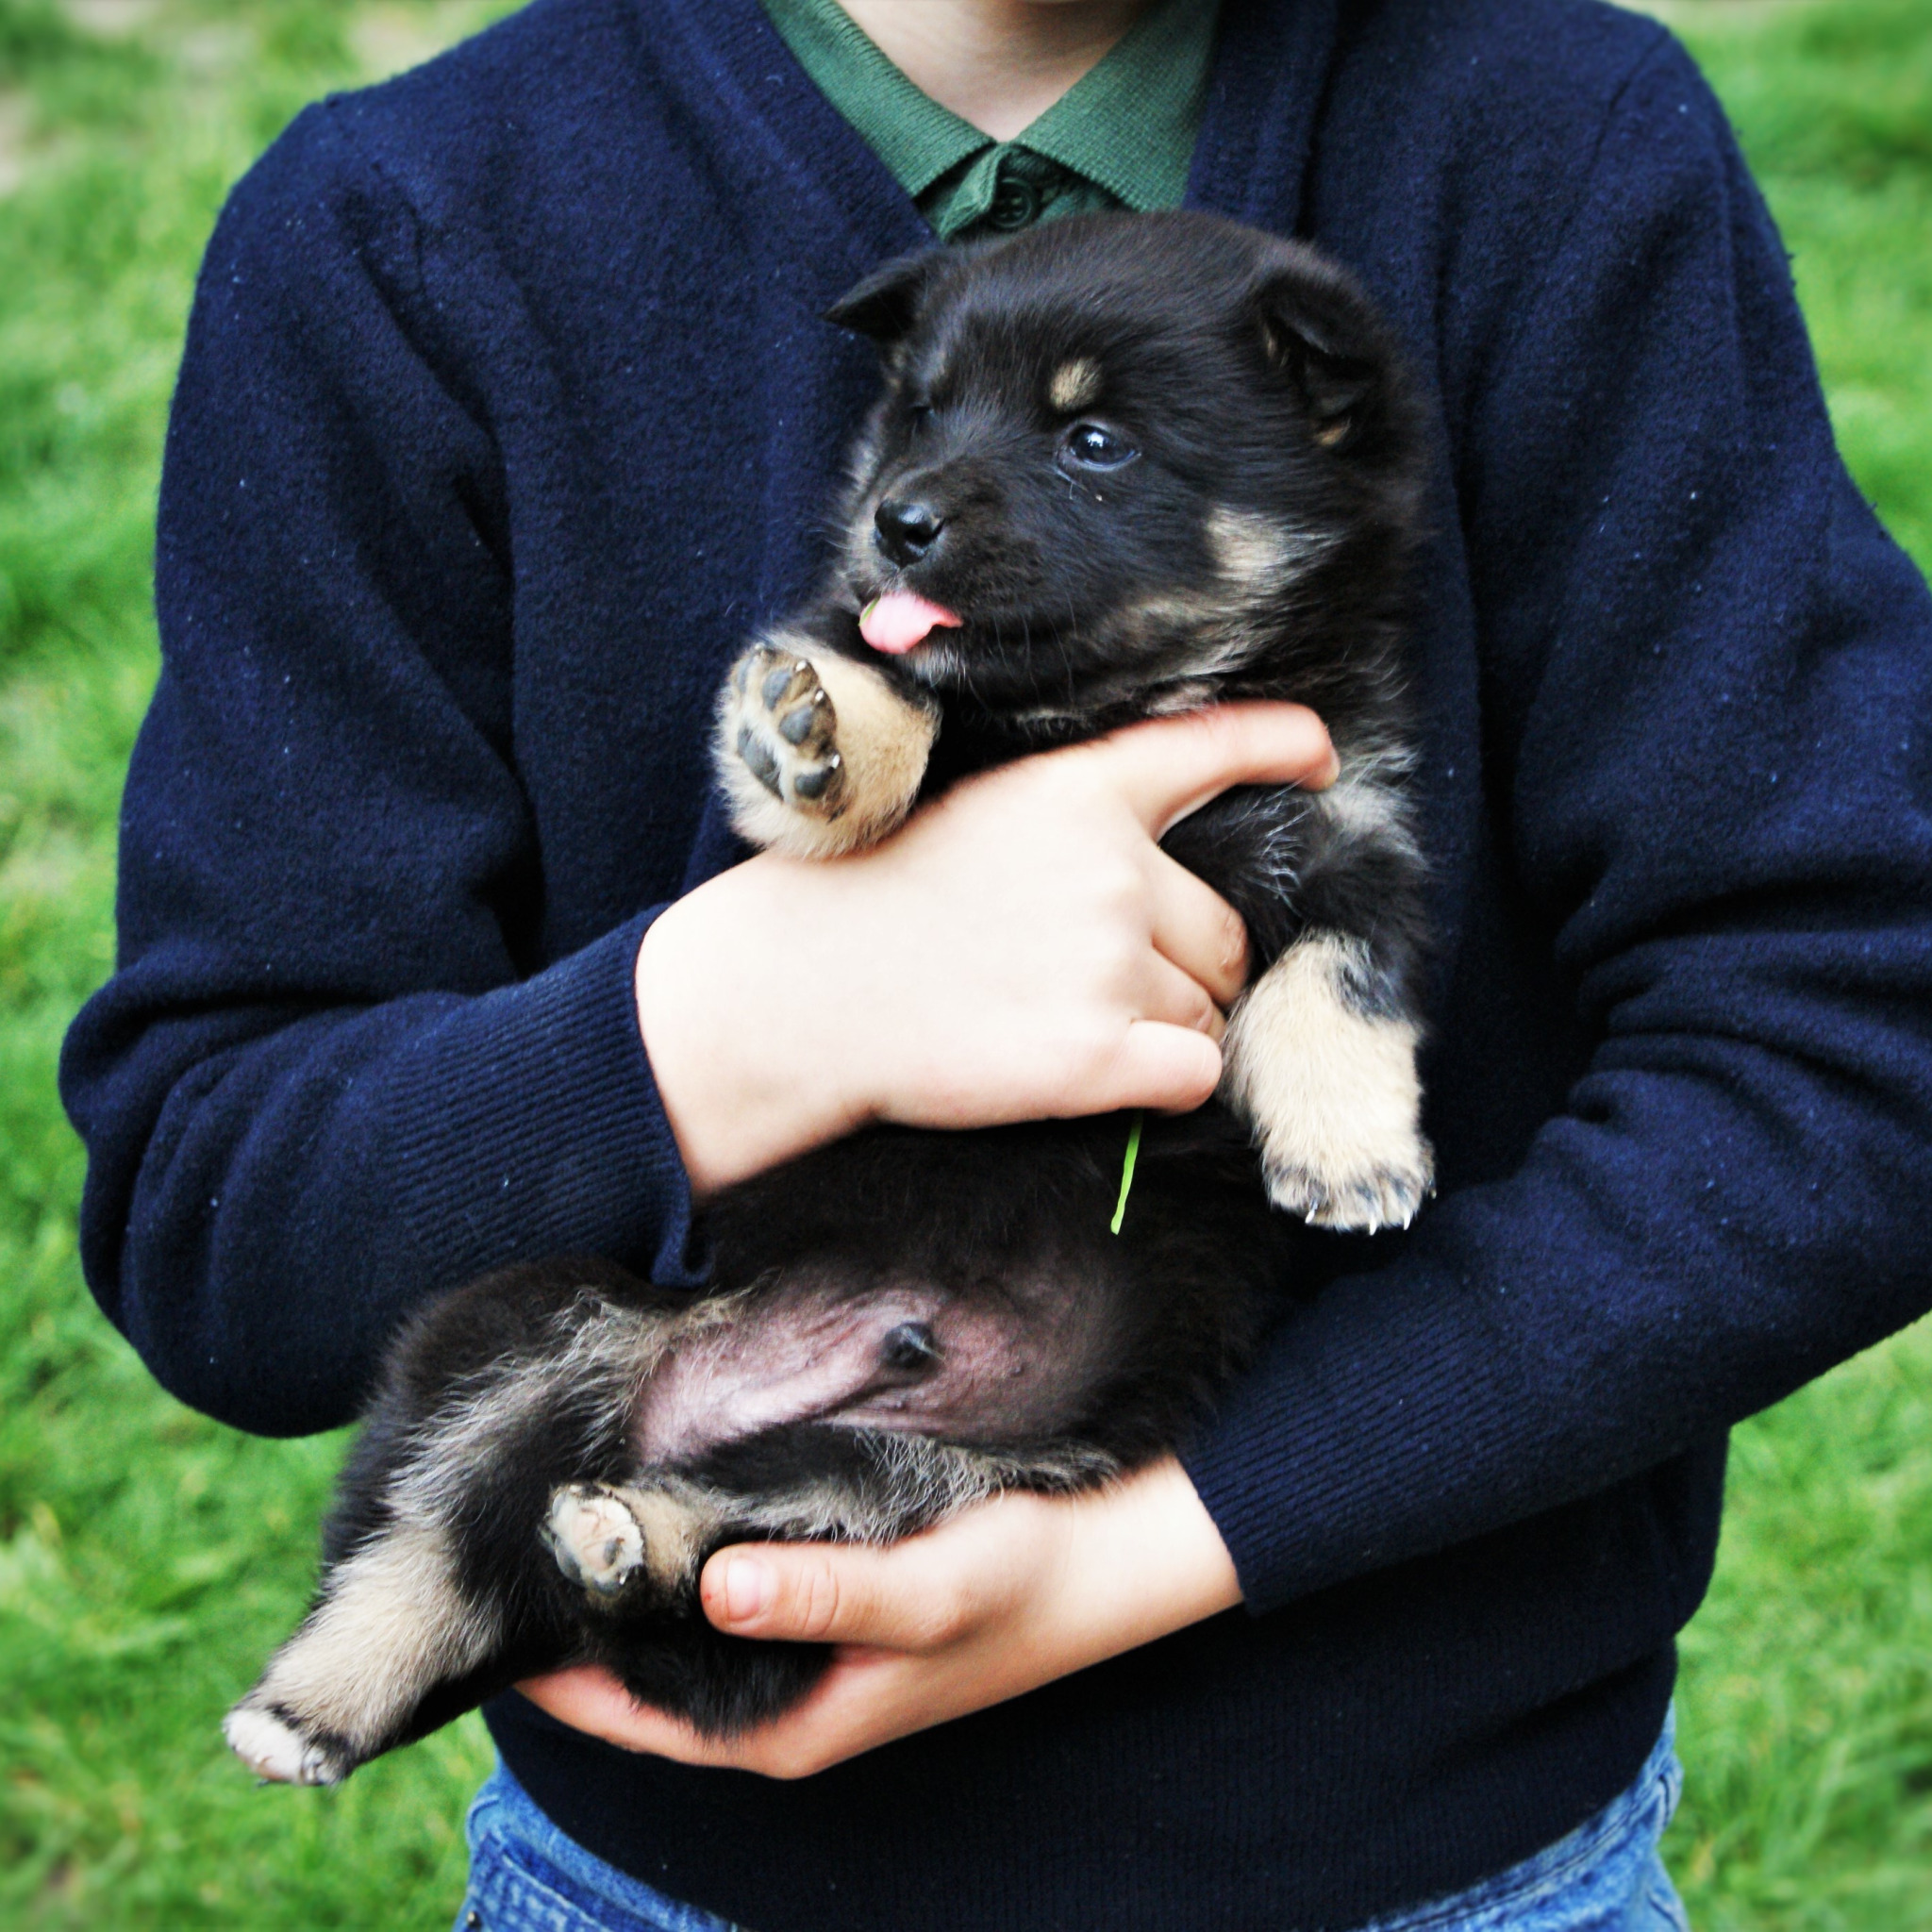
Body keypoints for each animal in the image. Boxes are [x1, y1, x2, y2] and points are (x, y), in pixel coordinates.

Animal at [225, 208, 1437, 1777]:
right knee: (426, 1545)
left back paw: (625, 1538)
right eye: (921, 408)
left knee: (719, 1557)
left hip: (943, 1476)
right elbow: (882, 691)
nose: (897, 521)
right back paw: (313, 1703)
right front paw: (813, 731)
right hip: (522, 1331)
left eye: (1096, 440)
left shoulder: (1357, 823)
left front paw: (1351, 1154)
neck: (1108, 705)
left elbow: (1340, 980)